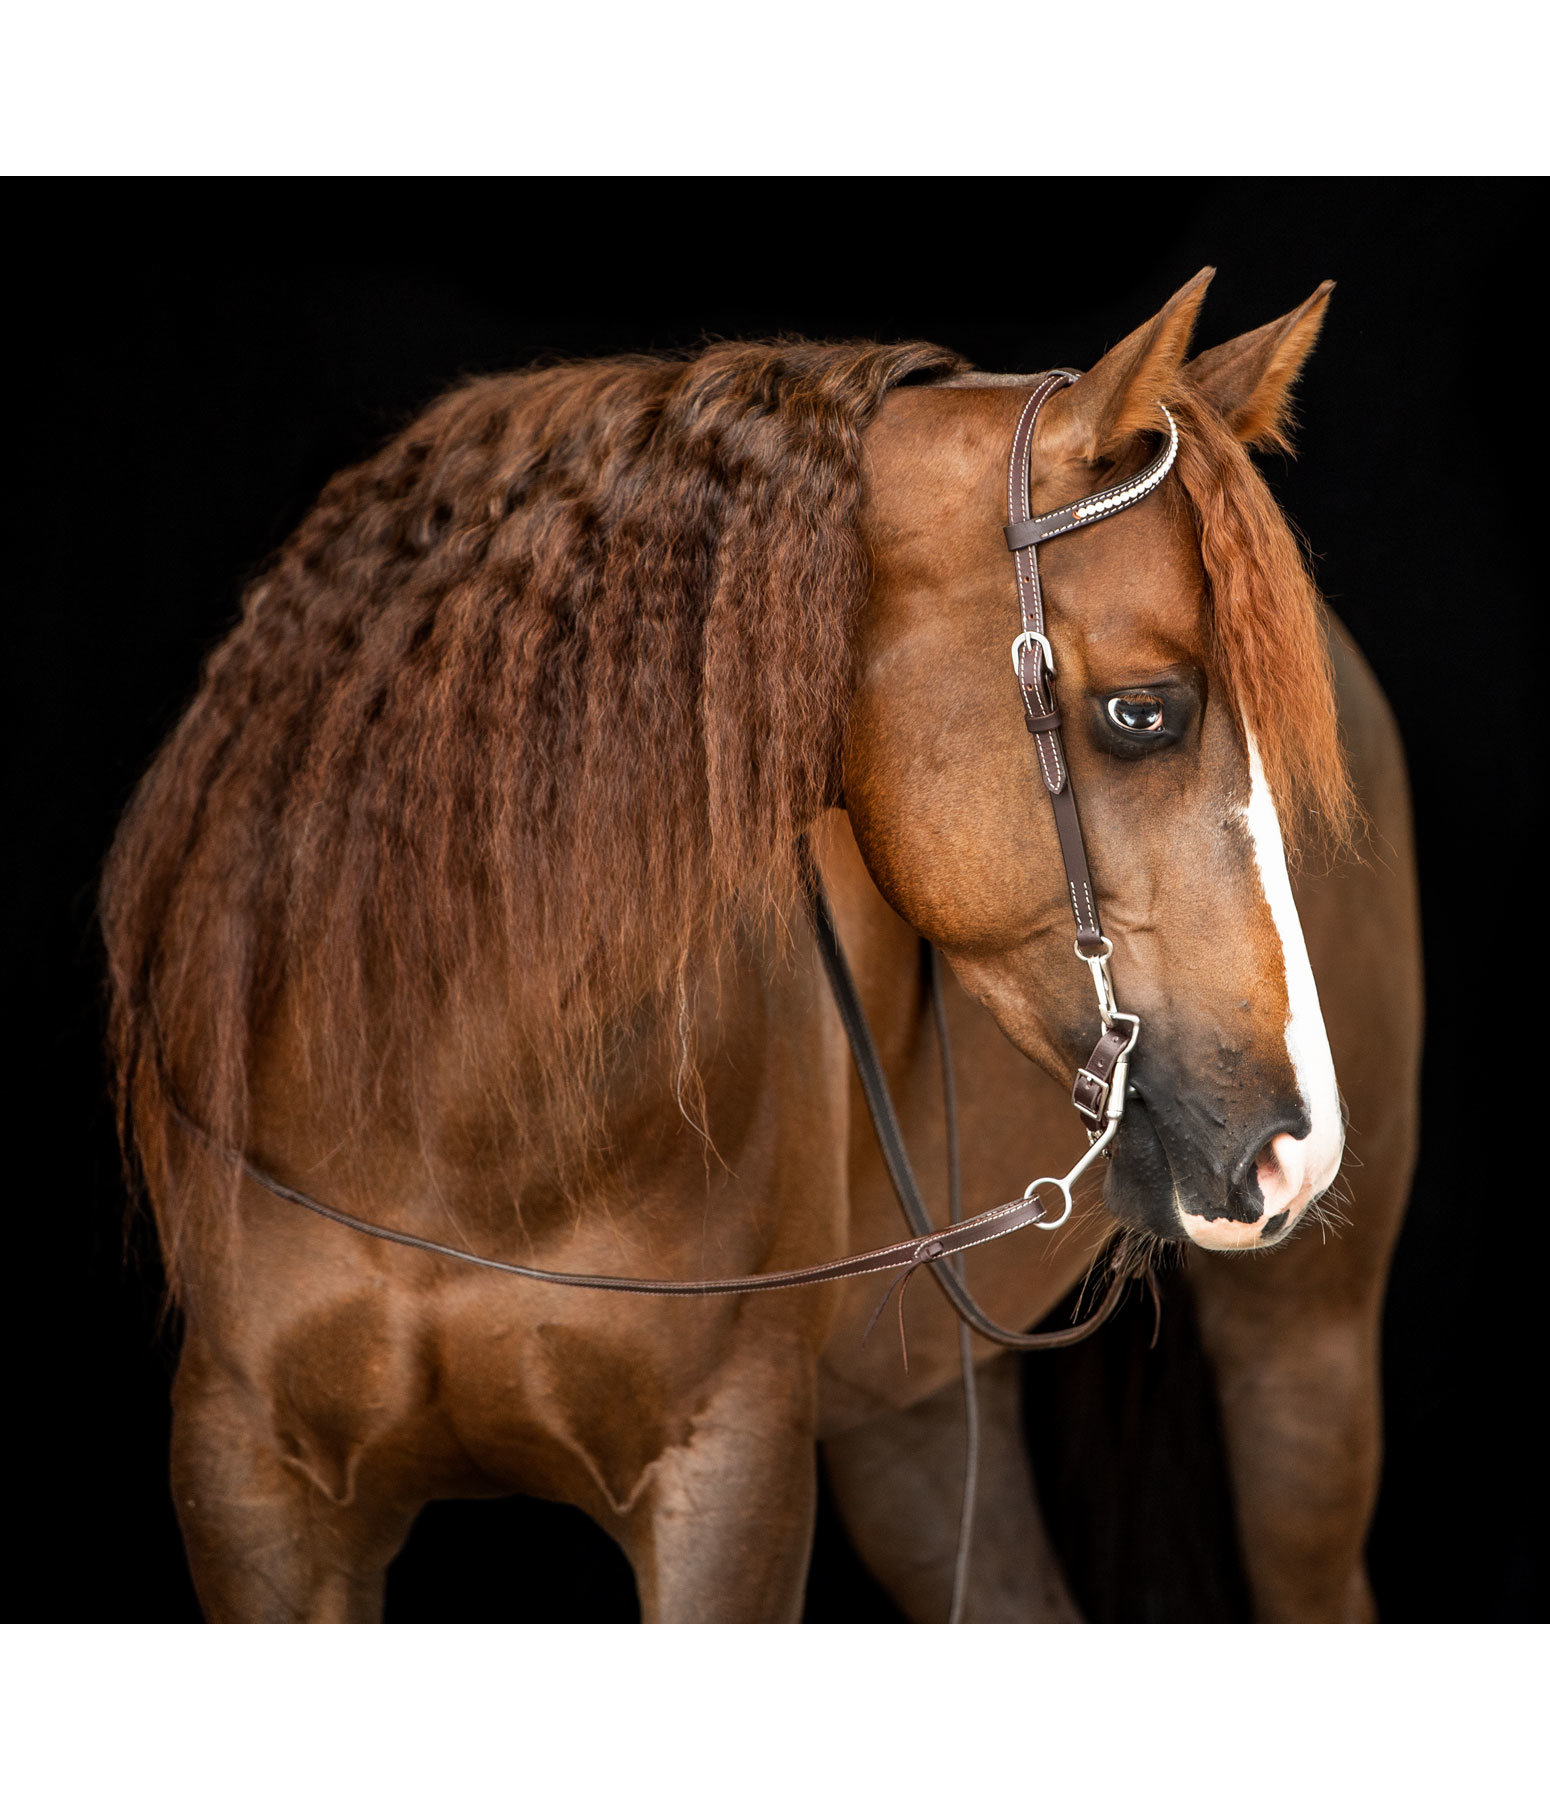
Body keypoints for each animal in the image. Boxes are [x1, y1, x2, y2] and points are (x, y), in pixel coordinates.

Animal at [105, 270, 1418, 1634]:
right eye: (1142, 712)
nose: (1295, 1148)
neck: (436, 1102)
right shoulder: (251, 1482)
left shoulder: (728, 1476)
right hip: (916, 1418)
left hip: (1303, 1364)